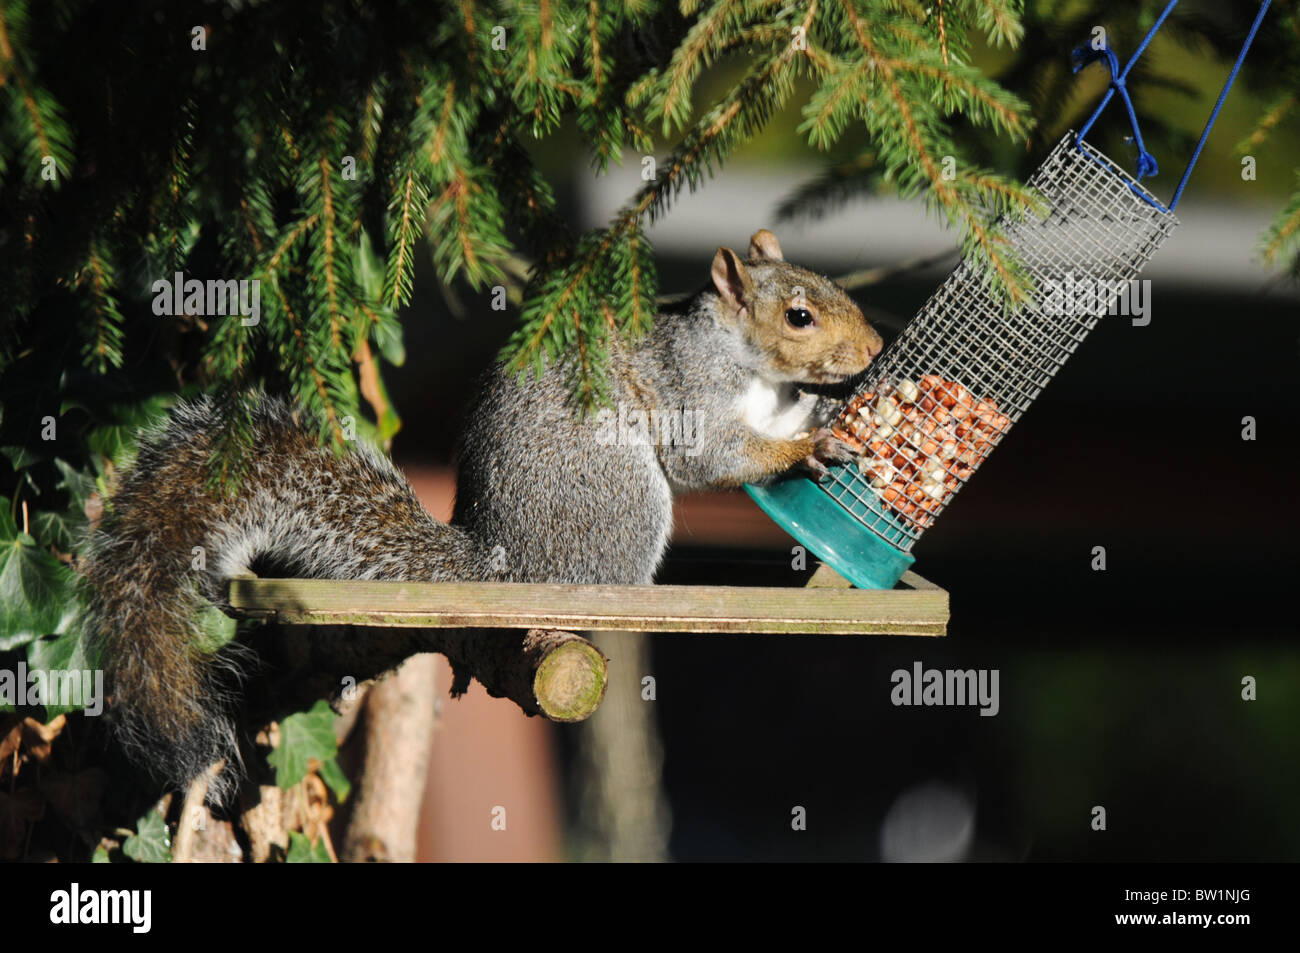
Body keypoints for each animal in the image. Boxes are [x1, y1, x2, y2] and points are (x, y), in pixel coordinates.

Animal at [82, 228, 882, 797]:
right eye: (799, 316)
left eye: (833, 285)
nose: (876, 348)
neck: (745, 362)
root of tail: (499, 560)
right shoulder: (690, 392)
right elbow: (713, 456)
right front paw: (805, 448)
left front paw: (829, 414)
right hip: (622, 497)